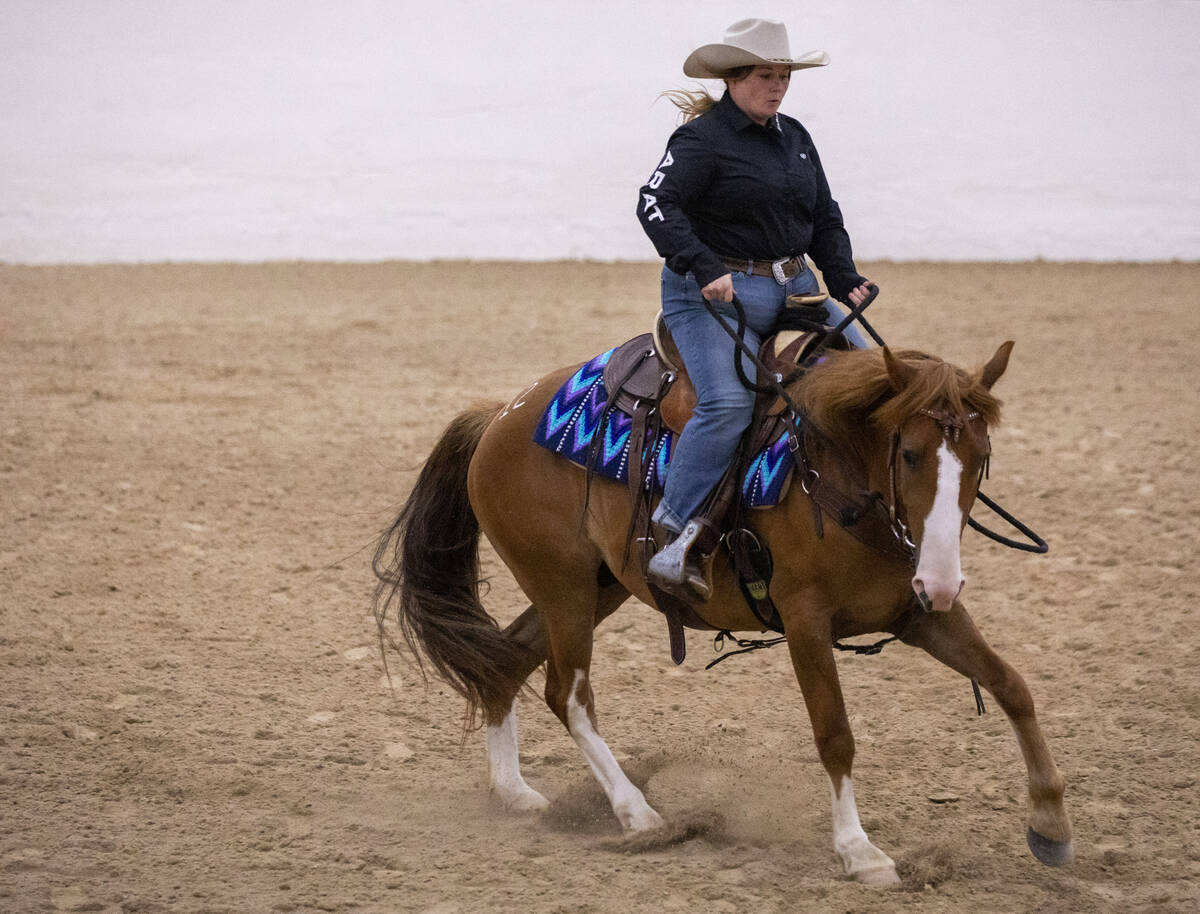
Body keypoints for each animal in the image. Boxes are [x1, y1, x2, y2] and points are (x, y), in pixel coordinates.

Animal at [372, 338, 1070, 878]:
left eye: (981, 457)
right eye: (910, 453)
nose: (945, 578)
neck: (836, 475)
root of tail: (499, 416)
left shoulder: (921, 614)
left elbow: (1013, 687)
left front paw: (1051, 825)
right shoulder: (806, 622)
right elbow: (835, 734)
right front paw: (858, 850)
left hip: (594, 587)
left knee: (507, 661)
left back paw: (514, 792)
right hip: (563, 588)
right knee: (566, 692)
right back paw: (637, 813)